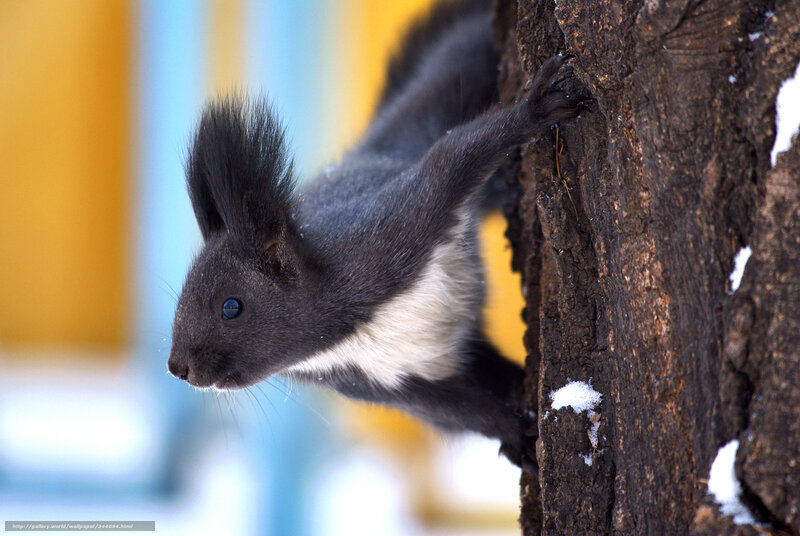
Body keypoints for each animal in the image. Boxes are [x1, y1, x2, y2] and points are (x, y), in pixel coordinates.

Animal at [167, 0, 586, 471]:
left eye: (232, 307)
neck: (344, 332)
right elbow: (455, 410)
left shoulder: (391, 231)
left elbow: (452, 157)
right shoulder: (378, 383)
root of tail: (374, 149)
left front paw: (535, 109)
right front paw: (515, 432)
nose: (178, 368)